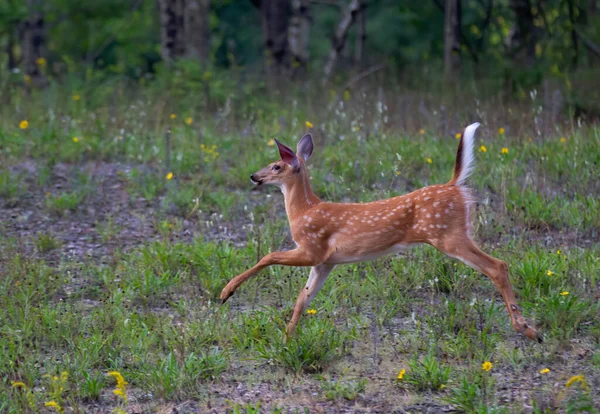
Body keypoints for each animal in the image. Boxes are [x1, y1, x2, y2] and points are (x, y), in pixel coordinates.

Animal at [220, 123, 544, 342]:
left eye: (276, 165)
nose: (254, 176)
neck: (304, 211)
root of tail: (454, 185)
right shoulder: (325, 262)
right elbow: (303, 298)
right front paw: (288, 337)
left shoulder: (312, 246)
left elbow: (268, 256)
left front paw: (226, 292)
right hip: (453, 233)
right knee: (499, 264)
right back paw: (530, 328)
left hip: (448, 234)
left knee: (498, 265)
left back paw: (527, 329)